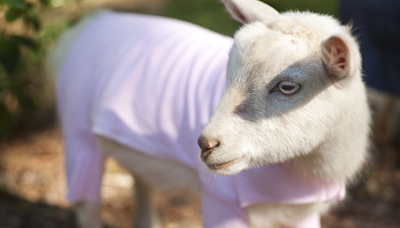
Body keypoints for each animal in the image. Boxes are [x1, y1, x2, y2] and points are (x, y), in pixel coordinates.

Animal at [50, 0, 372, 228]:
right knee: (86, 205)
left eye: (288, 86)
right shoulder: (221, 200)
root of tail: (94, 22)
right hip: (77, 130)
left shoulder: (301, 213)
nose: (206, 144)